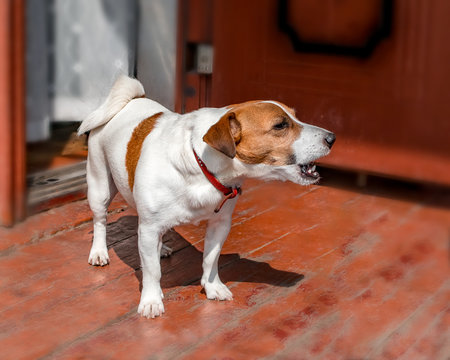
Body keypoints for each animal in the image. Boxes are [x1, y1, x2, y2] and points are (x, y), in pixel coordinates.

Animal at [79, 75, 336, 318]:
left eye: (296, 117)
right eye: (280, 125)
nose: (332, 138)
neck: (201, 163)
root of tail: (132, 100)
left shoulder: (219, 224)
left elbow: (211, 259)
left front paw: (212, 287)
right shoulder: (150, 226)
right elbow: (152, 271)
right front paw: (151, 300)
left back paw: (161, 248)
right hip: (100, 187)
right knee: (100, 221)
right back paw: (99, 252)